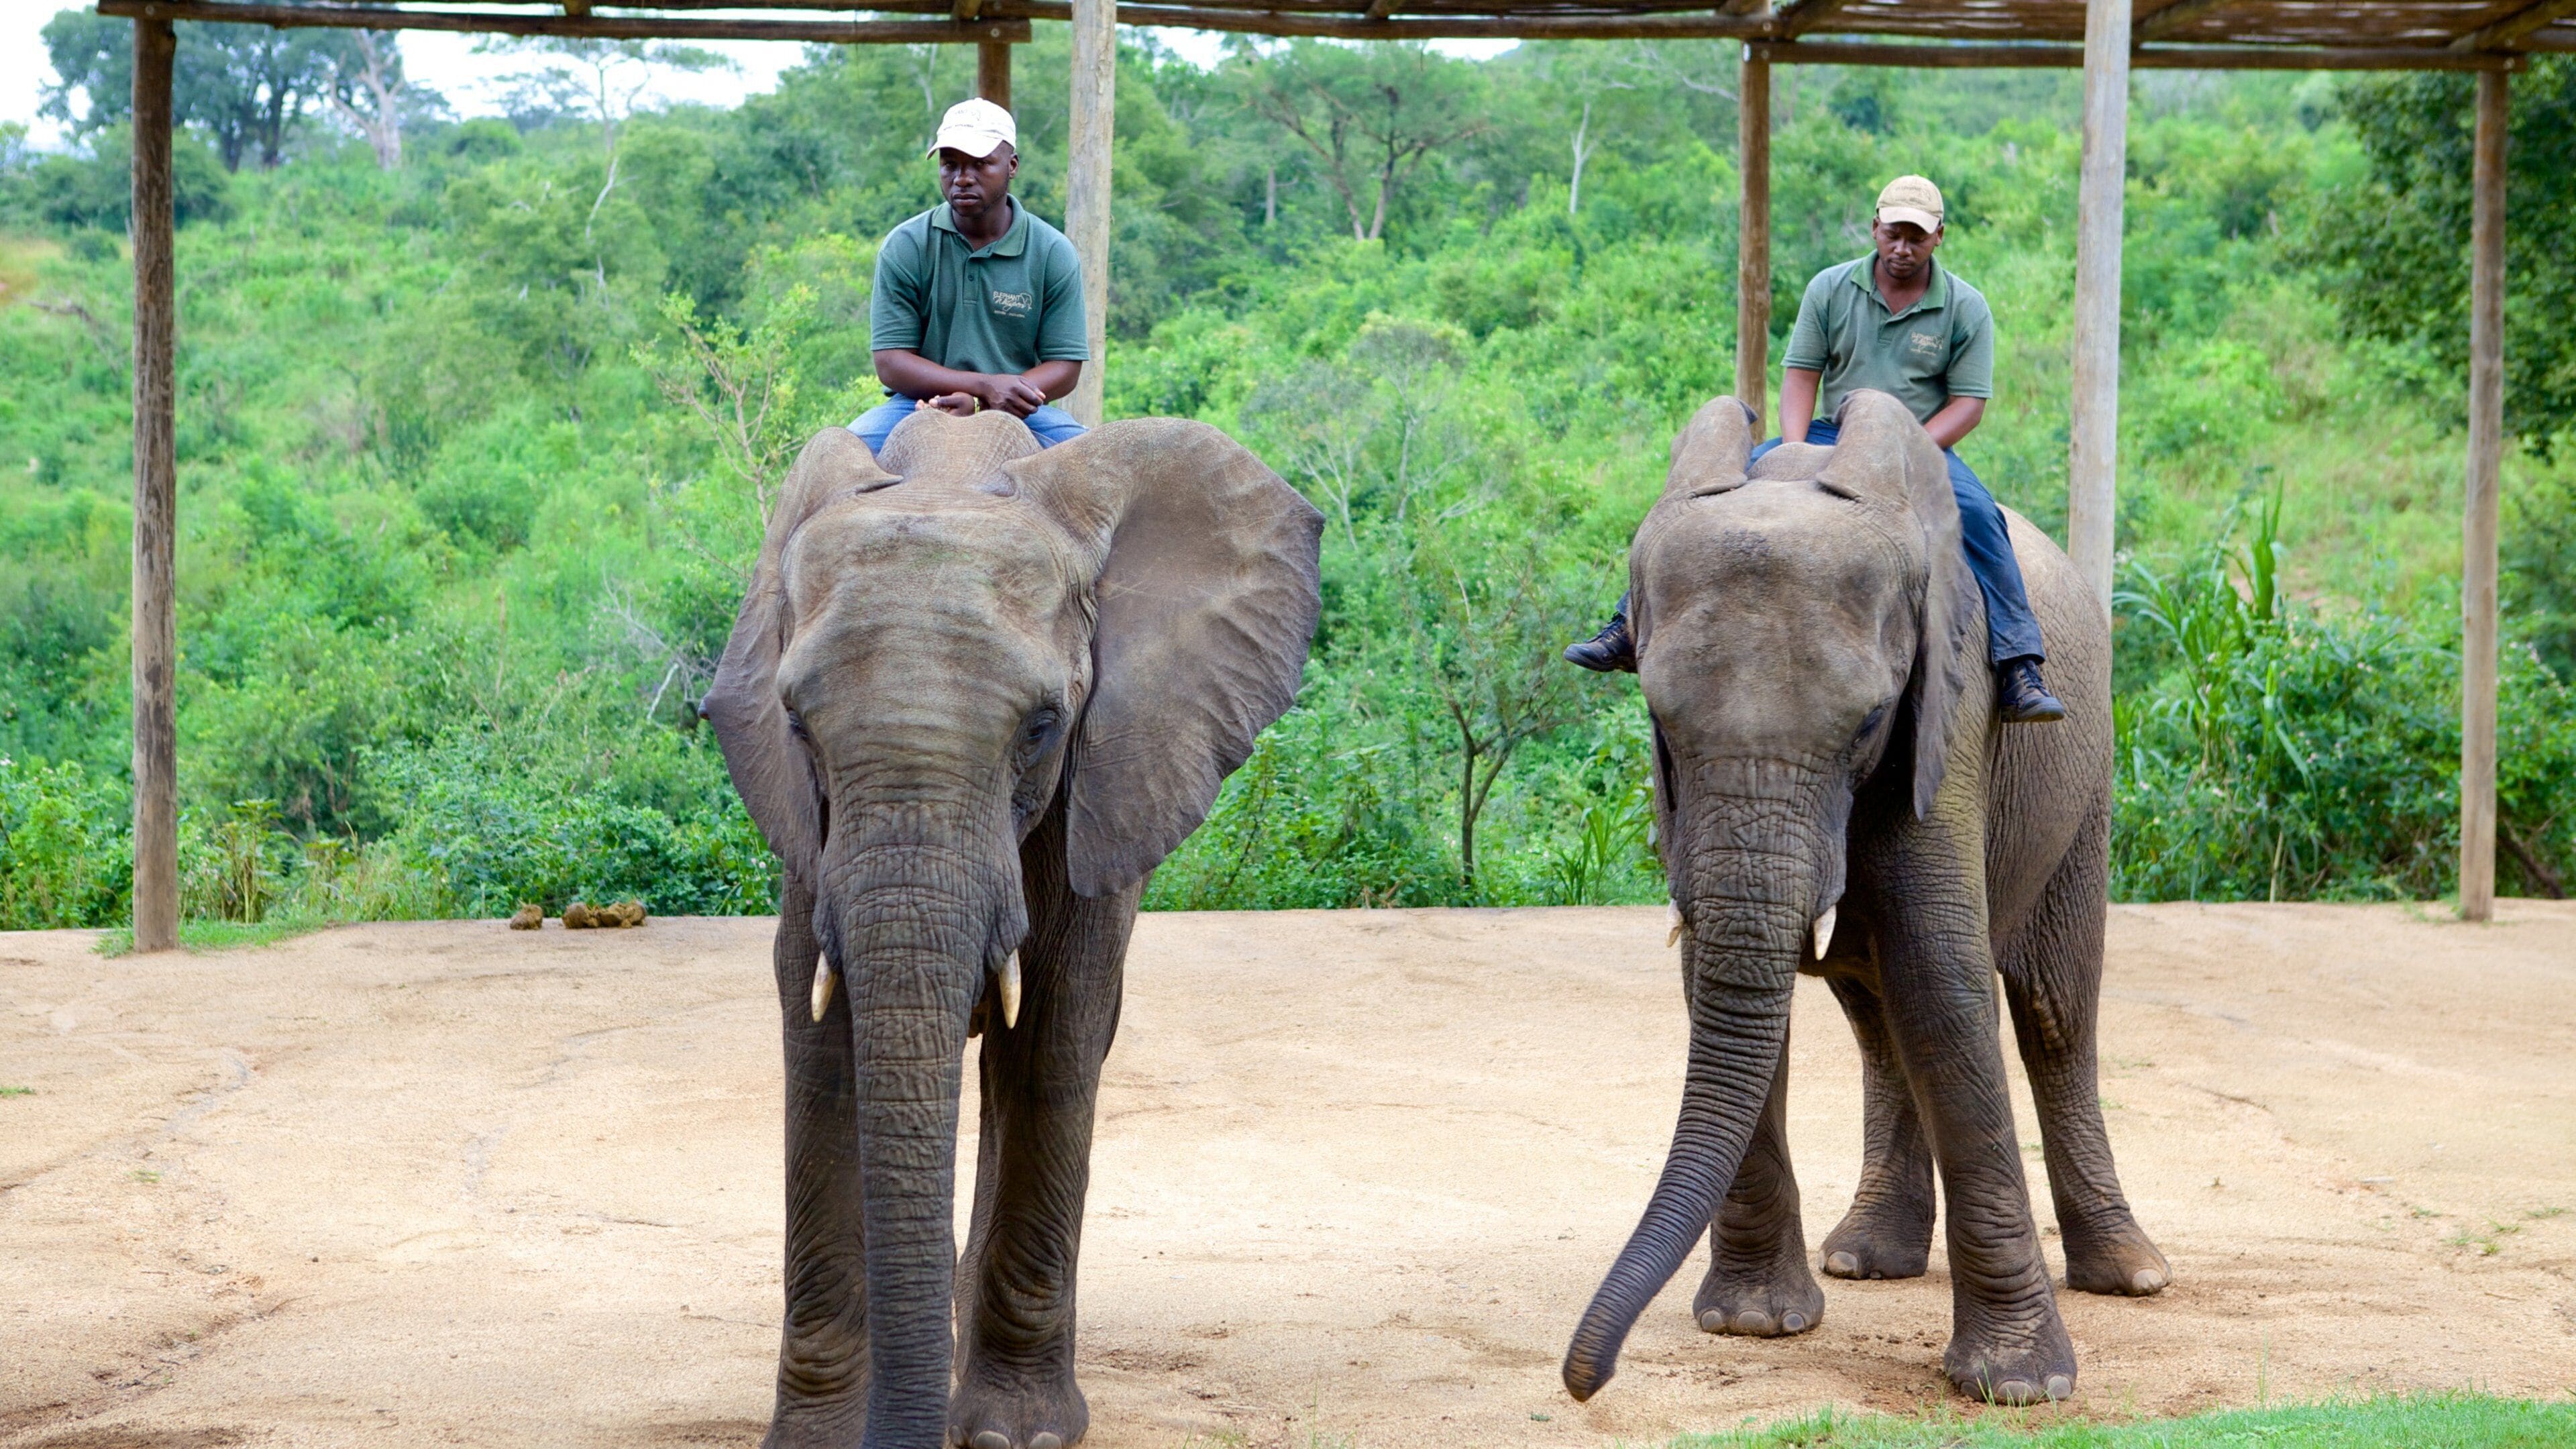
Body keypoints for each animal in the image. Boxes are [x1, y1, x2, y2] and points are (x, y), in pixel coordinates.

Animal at [702, 408, 1322, 1449]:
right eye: (795, 722)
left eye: (1041, 726)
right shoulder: (808, 840)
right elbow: (822, 1047)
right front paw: (818, 1439)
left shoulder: (1103, 784)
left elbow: (1053, 1041)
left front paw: (1010, 1434)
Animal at [1561, 391, 2167, 1408]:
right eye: (1661, 721)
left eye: (1871, 721)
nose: (1585, 1381)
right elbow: (1720, 972)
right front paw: (1755, 1325)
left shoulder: (1952, 715)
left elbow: (1944, 980)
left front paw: (2018, 1388)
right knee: (1879, 1018)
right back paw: (1867, 1260)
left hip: (2086, 781)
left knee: (2053, 1014)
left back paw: (2133, 1276)